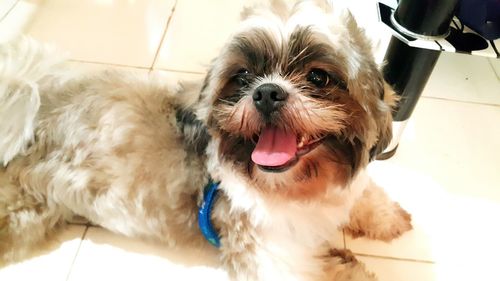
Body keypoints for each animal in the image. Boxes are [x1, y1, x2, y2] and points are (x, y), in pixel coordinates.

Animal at [0, 0, 410, 280]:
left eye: (318, 77)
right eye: (242, 77)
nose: (266, 92)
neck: (300, 187)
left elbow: (363, 194)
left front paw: (386, 217)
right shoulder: (271, 257)